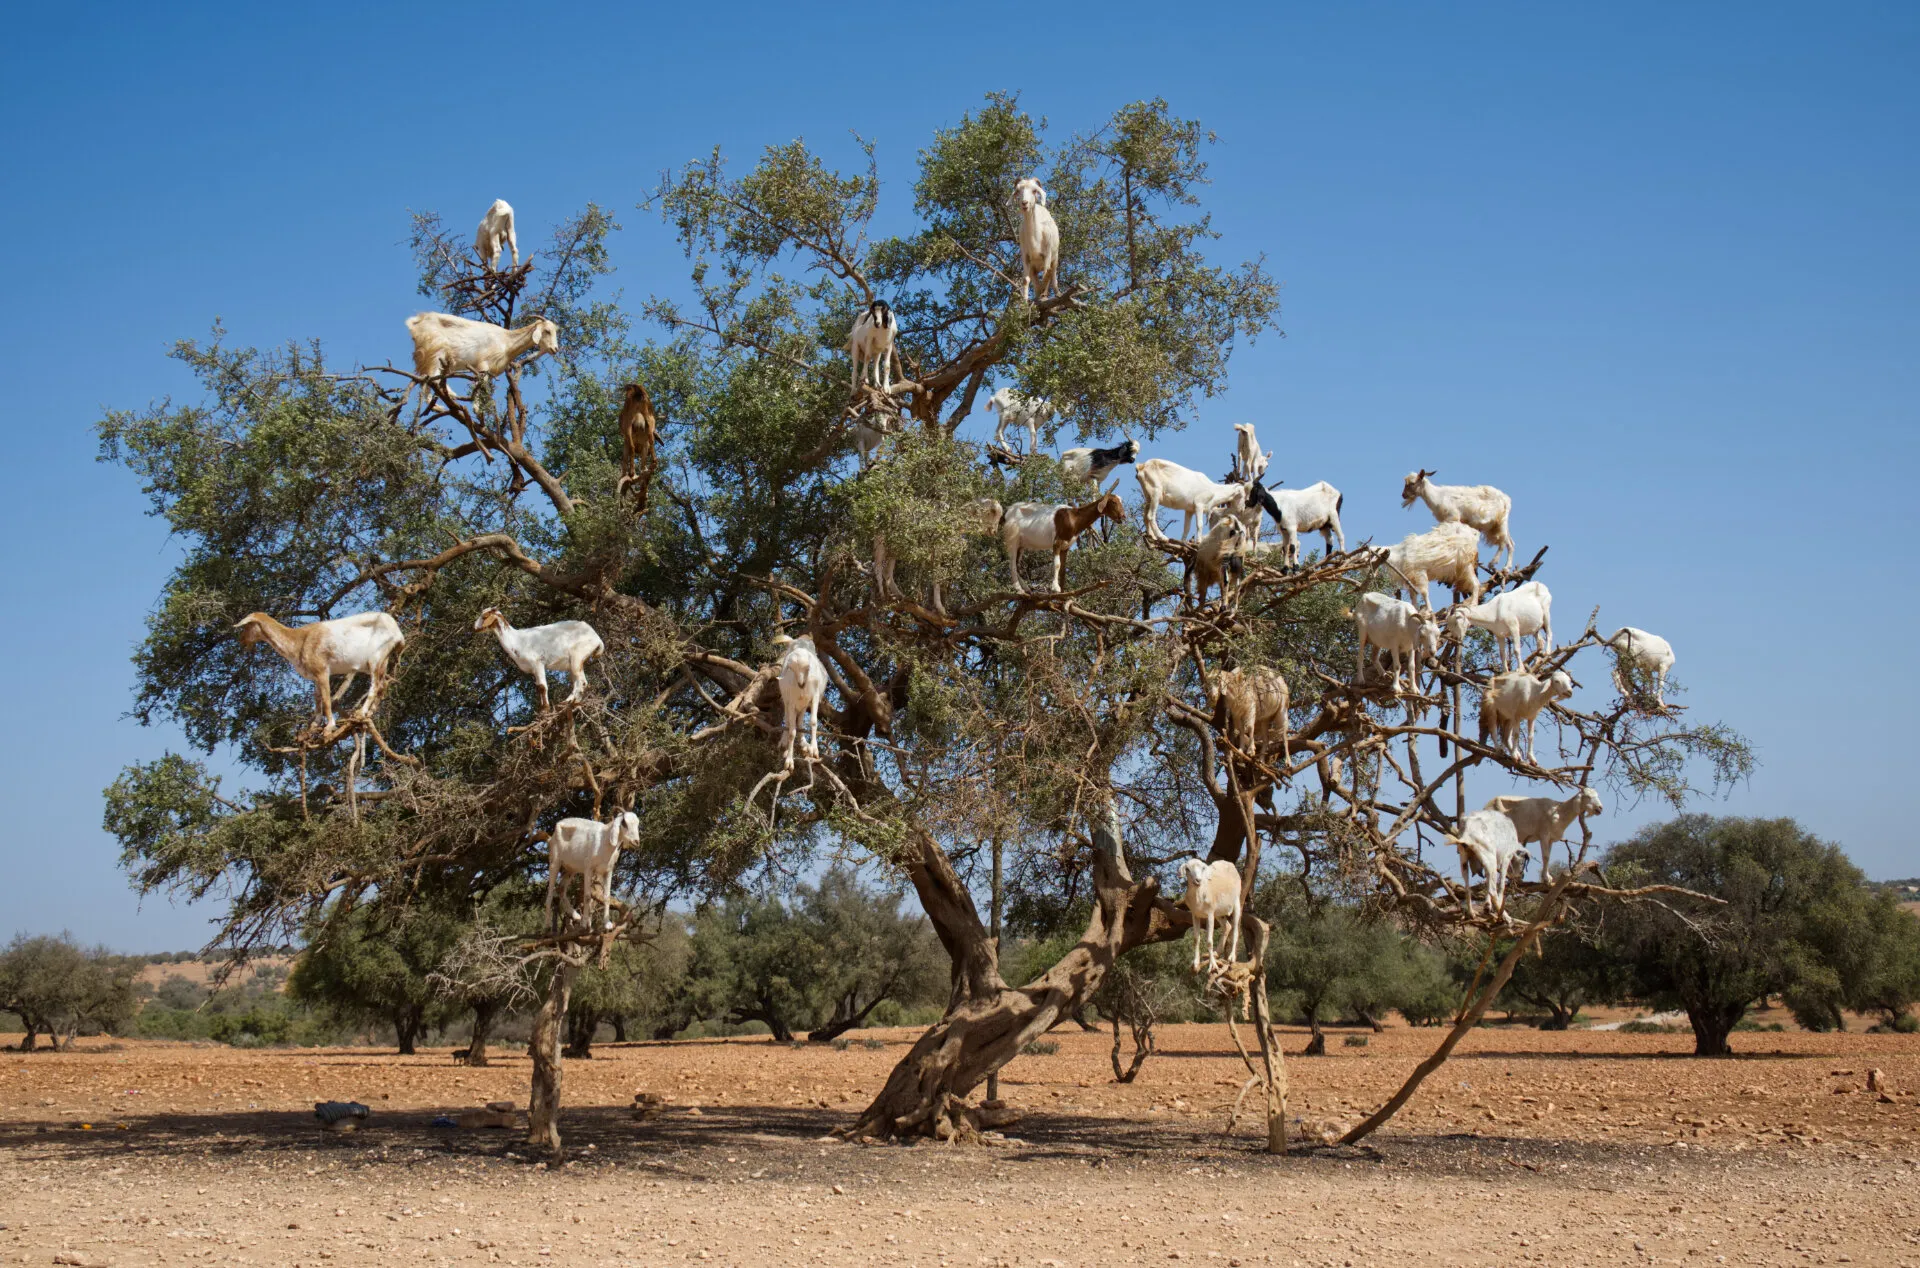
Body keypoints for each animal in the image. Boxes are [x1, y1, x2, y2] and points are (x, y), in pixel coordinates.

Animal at [233, 611, 405, 732]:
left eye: (247, 625)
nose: (241, 640)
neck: (299, 641)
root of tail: (398, 635)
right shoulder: (314, 675)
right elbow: (316, 698)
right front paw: (315, 723)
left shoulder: (322, 671)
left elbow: (326, 699)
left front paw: (330, 726)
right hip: (383, 661)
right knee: (383, 687)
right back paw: (370, 713)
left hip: (376, 657)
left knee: (375, 686)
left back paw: (361, 713)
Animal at [407, 313, 559, 388]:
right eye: (547, 331)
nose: (555, 349)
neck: (506, 341)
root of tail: (416, 323)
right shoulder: (483, 365)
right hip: (434, 354)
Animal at [473, 608, 604, 710]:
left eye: (485, 616)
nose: (475, 628)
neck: (517, 640)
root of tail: (597, 639)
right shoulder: (533, 669)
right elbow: (537, 688)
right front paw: (541, 709)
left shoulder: (538, 663)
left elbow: (542, 686)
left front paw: (545, 709)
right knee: (578, 682)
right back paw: (572, 703)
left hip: (577, 656)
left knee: (582, 682)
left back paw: (567, 702)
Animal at [771, 634, 826, 771]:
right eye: (791, 668)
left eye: (808, 667)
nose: (801, 684)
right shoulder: (791, 702)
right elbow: (792, 731)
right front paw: (789, 761)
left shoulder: (814, 697)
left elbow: (813, 722)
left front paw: (814, 749)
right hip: (788, 701)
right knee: (788, 721)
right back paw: (784, 743)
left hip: (804, 704)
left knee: (800, 722)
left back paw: (804, 744)